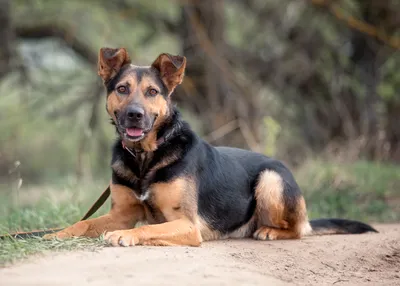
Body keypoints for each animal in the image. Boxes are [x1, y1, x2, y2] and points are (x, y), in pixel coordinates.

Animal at [43, 47, 378, 246]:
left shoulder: (187, 224)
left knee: (298, 230)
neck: (146, 157)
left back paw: (270, 230)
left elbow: (147, 228)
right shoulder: (122, 212)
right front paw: (57, 233)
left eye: (152, 92)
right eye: (122, 89)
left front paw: (126, 236)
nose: (134, 115)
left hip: (270, 180)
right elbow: (83, 224)